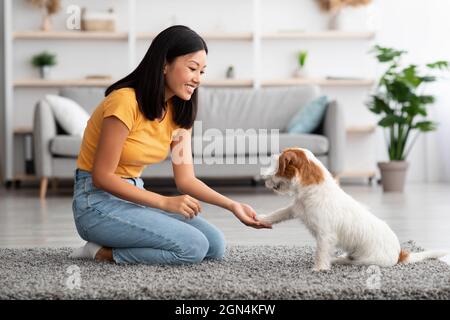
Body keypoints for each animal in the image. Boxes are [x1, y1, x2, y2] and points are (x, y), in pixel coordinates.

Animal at [256, 147, 446, 270]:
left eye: (276, 167)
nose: (263, 179)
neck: (314, 188)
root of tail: (400, 253)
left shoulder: (325, 235)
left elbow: (320, 252)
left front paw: (318, 269)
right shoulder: (295, 209)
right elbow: (278, 213)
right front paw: (261, 218)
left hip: (365, 260)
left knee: (348, 261)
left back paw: (336, 260)